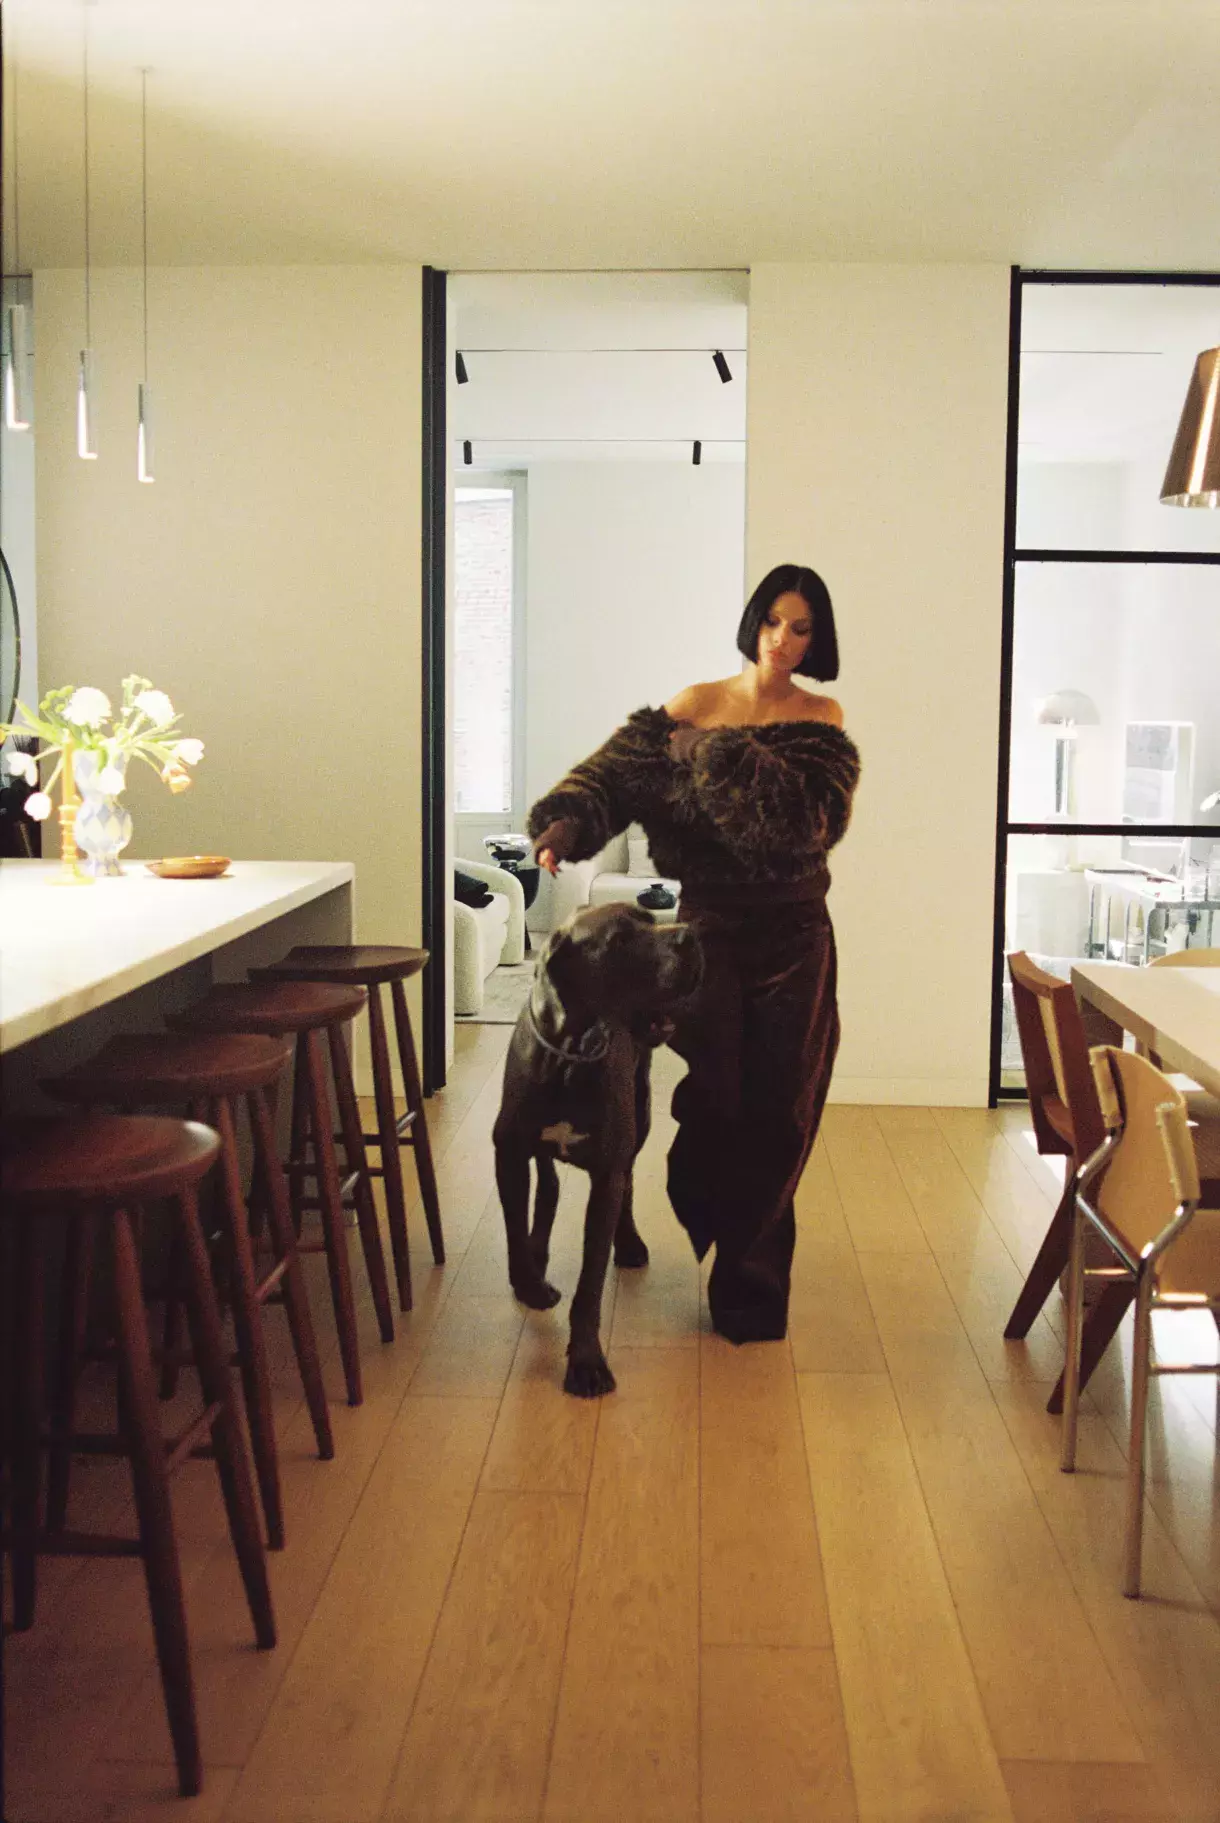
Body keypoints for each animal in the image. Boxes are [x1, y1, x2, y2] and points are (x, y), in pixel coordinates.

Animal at [493, 902, 702, 1397]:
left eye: (651, 920)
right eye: (619, 940)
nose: (690, 935)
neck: (570, 1054)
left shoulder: (606, 1171)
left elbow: (590, 1283)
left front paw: (586, 1361)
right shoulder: (507, 1153)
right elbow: (514, 1229)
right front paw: (529, 1283)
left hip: (640, 1116)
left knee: (627, 1183)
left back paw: (627, 1243)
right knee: (548, 1184)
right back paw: (539, 1251)